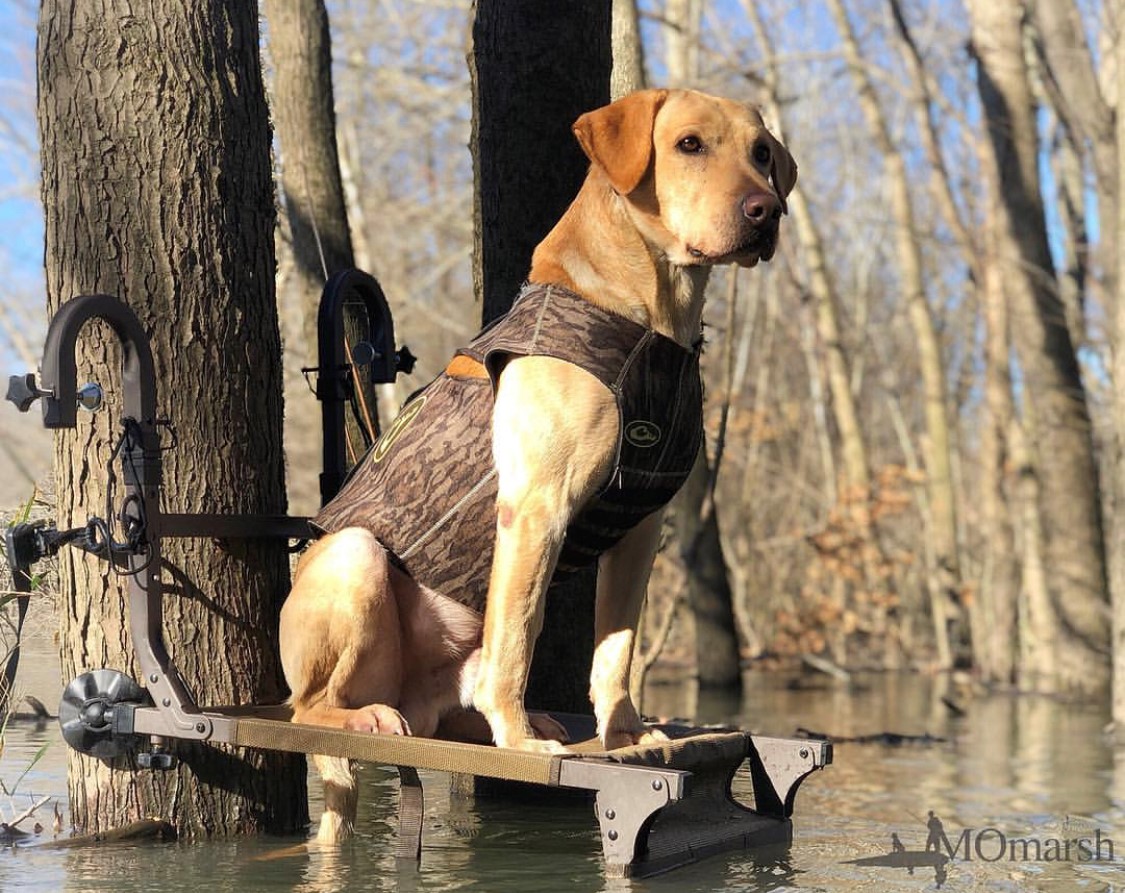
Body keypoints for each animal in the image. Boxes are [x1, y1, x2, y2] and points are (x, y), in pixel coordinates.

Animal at [276, 87, 796, 836]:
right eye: (689, 144)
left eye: (761, 153)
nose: (767, 211)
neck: (650, 322)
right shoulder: (537, 509)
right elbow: (516, 646)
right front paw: (521, 740)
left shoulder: (639, 529)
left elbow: (615, 649)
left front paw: (625, 731)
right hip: (355, 558)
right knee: (309, 707)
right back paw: (372, 715)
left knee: (446, 714)